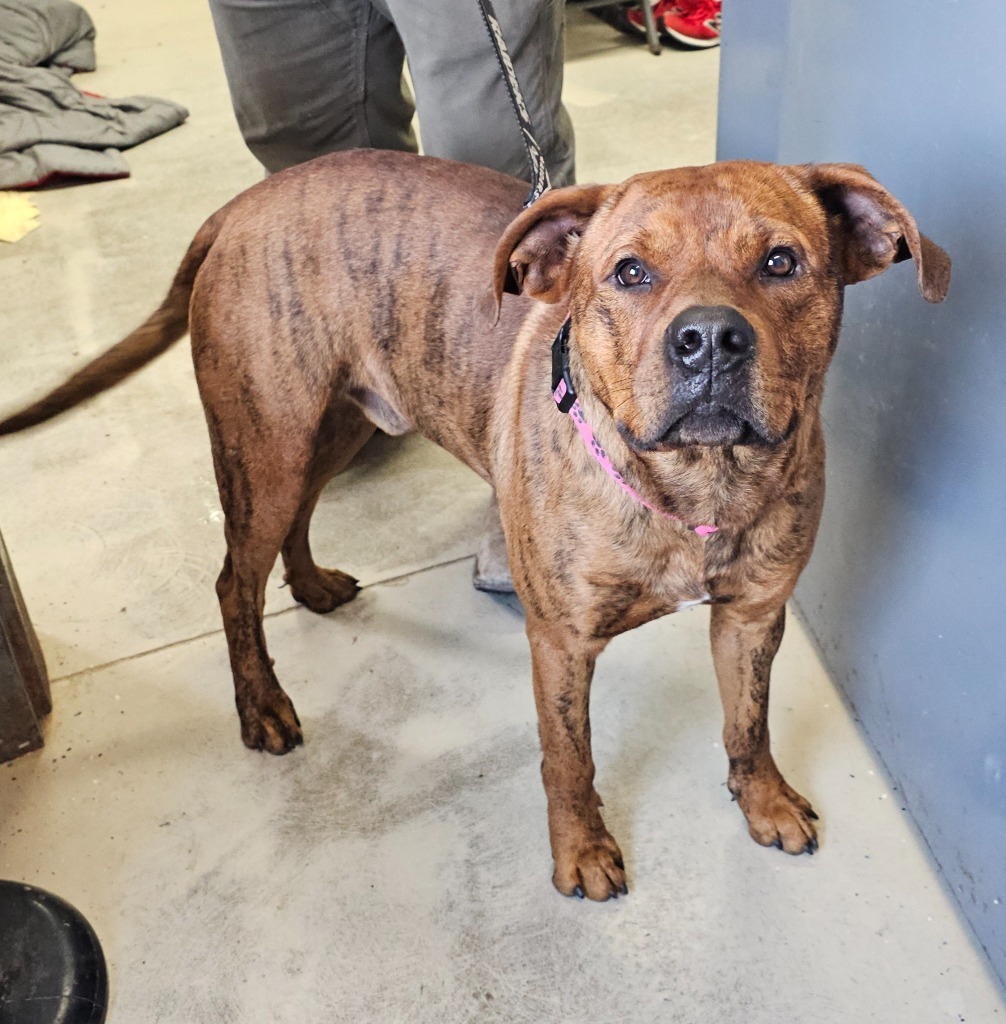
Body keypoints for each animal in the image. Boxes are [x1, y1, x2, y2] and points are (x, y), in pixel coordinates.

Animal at [0, 149, 954, 897]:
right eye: (629, 273)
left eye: (783, 262)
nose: (711, 338)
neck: (696, 489)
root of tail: (244, 202)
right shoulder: (561, 644)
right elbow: (570, 757)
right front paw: (582, 853)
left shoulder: (753, 617)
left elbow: (747, 724)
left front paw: (762, 801)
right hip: (264, 443)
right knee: (235, 580)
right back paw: (262, 705)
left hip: (337, 425)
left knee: (297, 522)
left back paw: (311, 584)